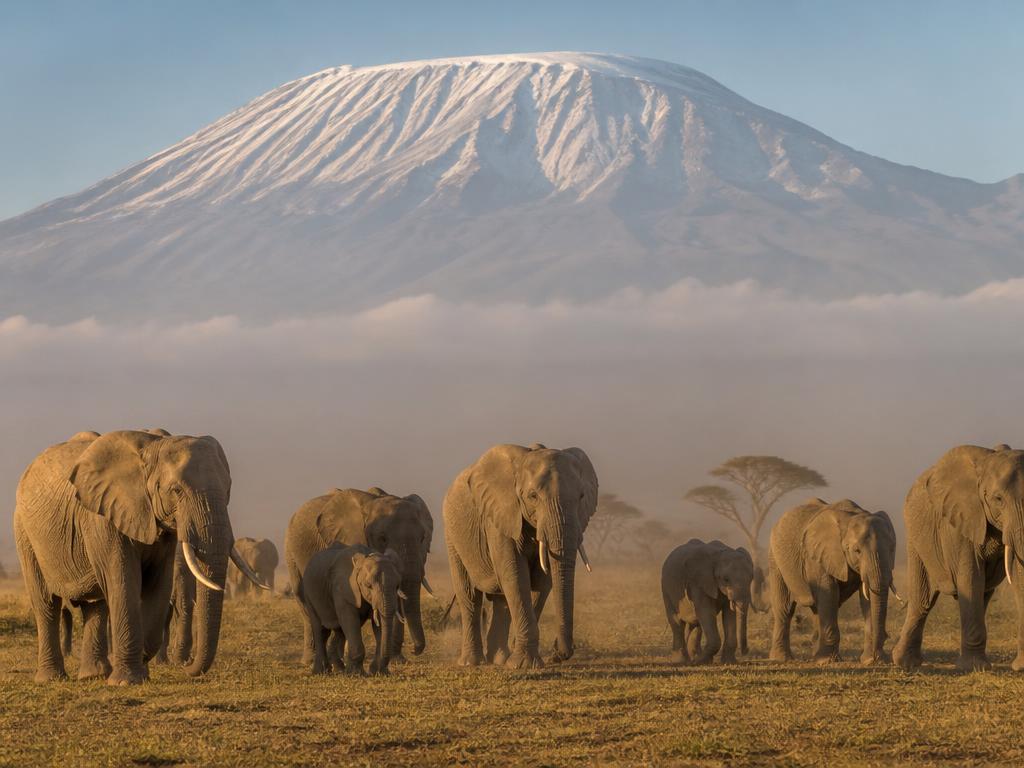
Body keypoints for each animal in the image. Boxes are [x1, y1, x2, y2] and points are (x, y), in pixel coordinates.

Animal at [13, 429, 265, 684]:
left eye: (228, 490)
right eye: (176, 490)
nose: (186, 667)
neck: (153, 447)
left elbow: (159, 583)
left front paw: (140, 669)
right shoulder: (103, 517)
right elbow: (123, 581)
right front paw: (126, 681)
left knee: (96, 606)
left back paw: (94, 675)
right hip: (24, 533)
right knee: (47, 604)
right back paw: (51, 678)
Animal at [299, 544, 403, 675]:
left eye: (397, 585)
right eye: (368, 585)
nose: (381, 670)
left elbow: (378, 624)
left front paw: (379, 672)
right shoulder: (343, 589)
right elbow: (350, 620)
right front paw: (357, 674)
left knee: (339, 630)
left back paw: (340, 669)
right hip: (309, 595)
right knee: (320, 629)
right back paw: (321, 672)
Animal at [443, 443, 598, 669]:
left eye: (581, 497)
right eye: (533, 496)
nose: (557, 653)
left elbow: (542, 582)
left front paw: (521, 659)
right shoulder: (499, 517)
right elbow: (515, 575)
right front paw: (523, 665)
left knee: (501, 601)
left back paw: (498, 658)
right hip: (453, 535)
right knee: (470, 596)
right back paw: (471, 662)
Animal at [768, 498, 898, 665]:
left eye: (892, 548)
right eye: (857, 551)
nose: (878, 657)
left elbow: (867, 597)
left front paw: (870, 661)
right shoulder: (816, 557)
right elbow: (829, 593)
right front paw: (827, 662)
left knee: (817, 608)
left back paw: (816, 656)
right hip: (775, 559)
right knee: (785, 607)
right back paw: (783, 658)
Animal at [893, 444, 1024, 672]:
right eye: (998, 499)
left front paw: (1020, 667)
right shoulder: (957, 521)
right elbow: (970, 577)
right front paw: (974, 668)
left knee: (982, 595)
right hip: (915, 538)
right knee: (922, 600)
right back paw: (905, 663)